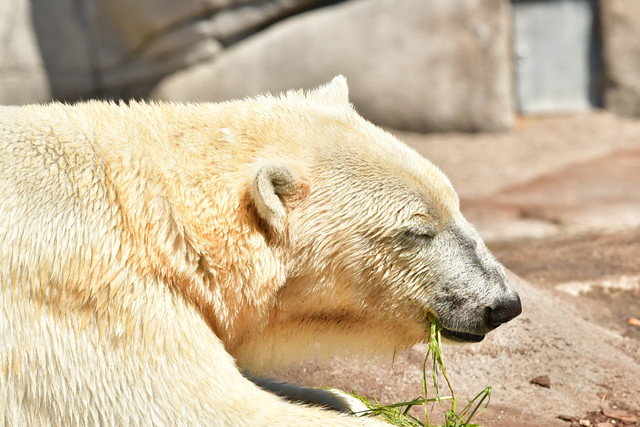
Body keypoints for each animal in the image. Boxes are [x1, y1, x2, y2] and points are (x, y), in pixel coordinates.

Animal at [0, 77, 521, 425]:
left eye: (455, 203)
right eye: (417, 231)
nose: (504, 304)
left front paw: (347, 399)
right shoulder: (89, 289)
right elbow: (201, 407)